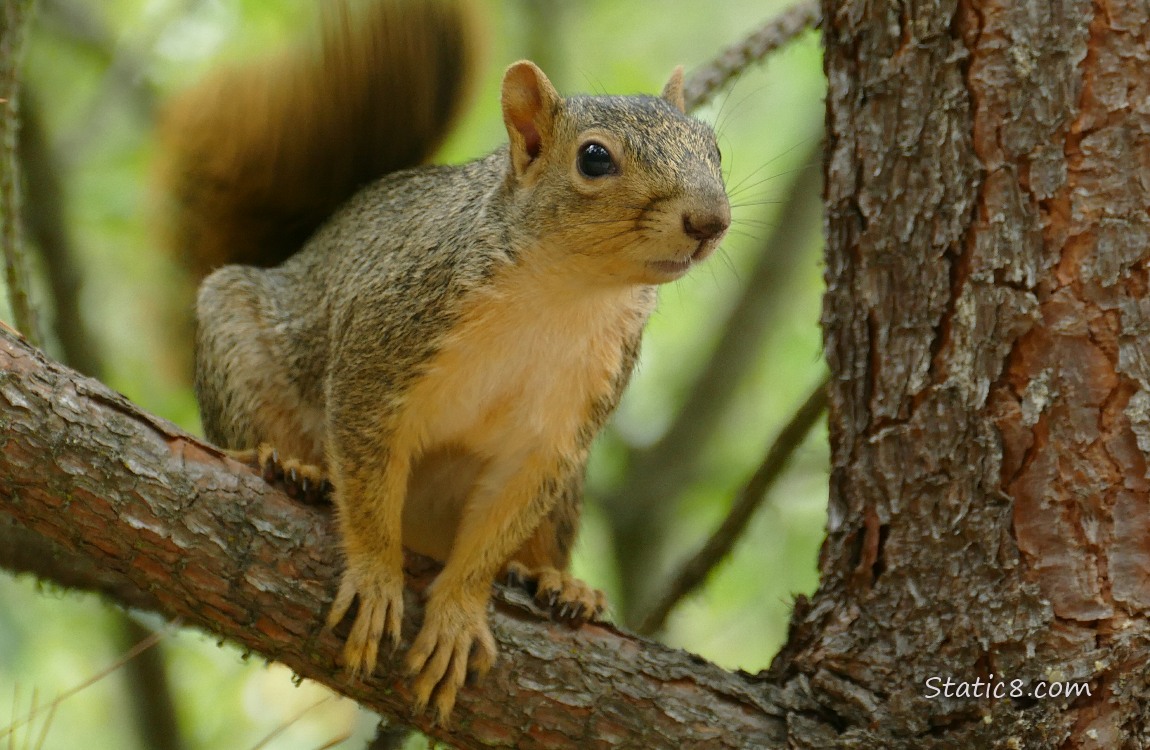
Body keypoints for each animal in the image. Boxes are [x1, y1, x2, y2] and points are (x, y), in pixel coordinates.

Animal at [161, 0, 729, 724]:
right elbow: (368, 488)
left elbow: (496, 530)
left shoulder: (560, 429)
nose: (711, 220)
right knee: (255, 435)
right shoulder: (381, 351)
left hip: (570, 486)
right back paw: (288, 464)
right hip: (238, 345)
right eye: (595, 158)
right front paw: (376, 574)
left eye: (714, 148)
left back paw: (558, 580)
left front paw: (459, 612)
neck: (565, 293)